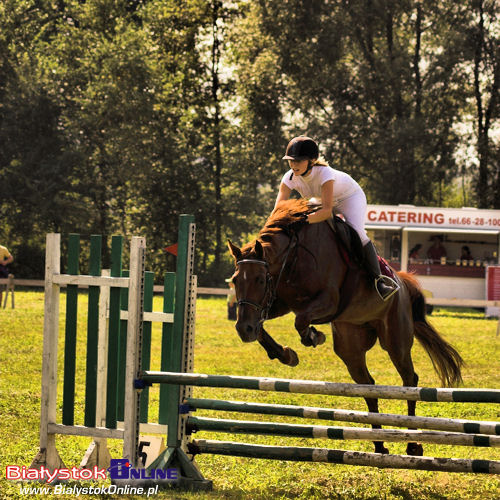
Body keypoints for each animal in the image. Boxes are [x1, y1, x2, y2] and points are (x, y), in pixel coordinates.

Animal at [229, 197, 462, 456]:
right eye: (235, 280)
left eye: (260, 279)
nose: (243, 330)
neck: (293, 256)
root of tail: (401, 281)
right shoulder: (277, 302)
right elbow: (264, 327)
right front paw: (285, 354)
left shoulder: (329, 301)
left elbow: (300, 320)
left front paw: (313, 336)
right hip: (351, 347)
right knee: (368, 387)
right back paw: (379, 444)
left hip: (396, 341)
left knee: (409, 380)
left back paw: (412, 444)